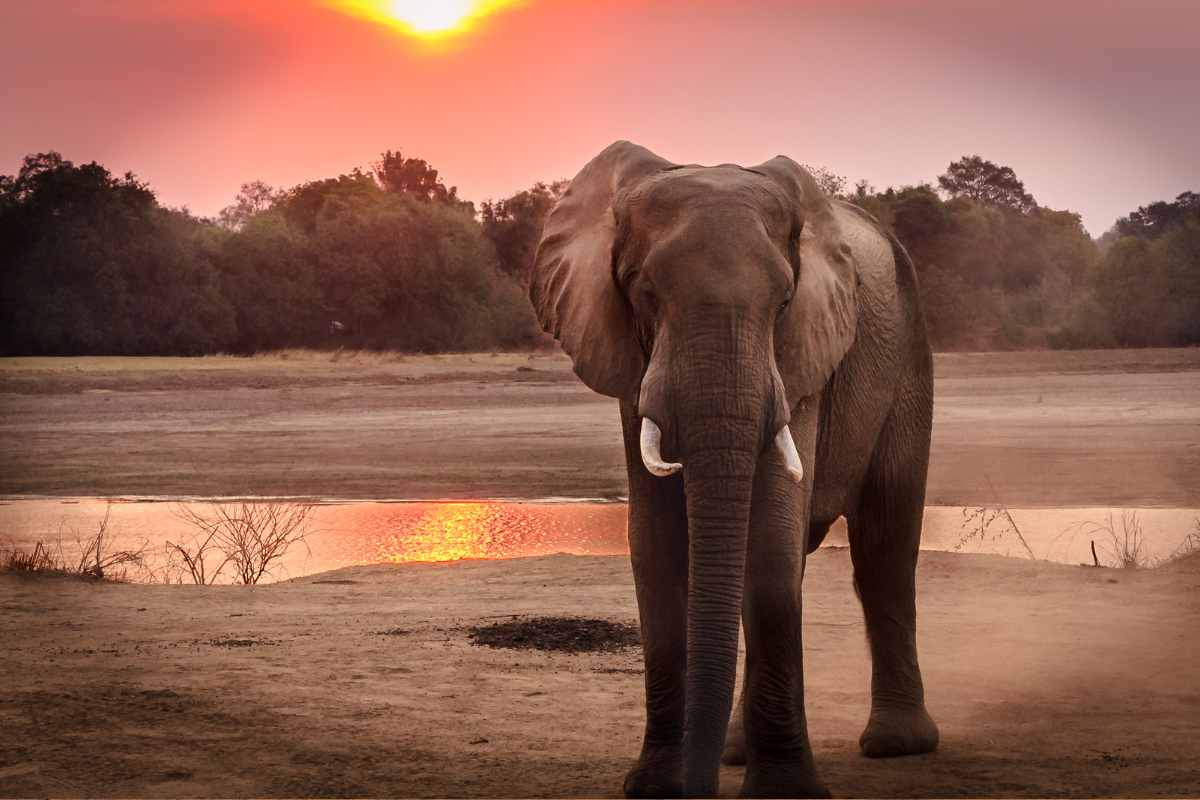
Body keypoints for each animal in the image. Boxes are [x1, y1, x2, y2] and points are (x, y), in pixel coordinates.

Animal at [528, 141, 938, 798]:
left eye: (784, 301)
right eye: (643, 293)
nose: (696, 786)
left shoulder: (802, 357)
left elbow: (769, 540)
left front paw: (785, 793)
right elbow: (656, 545)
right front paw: (656, 786)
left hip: (908, 354)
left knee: (885, 547)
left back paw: (895, 745)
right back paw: (737, 752)